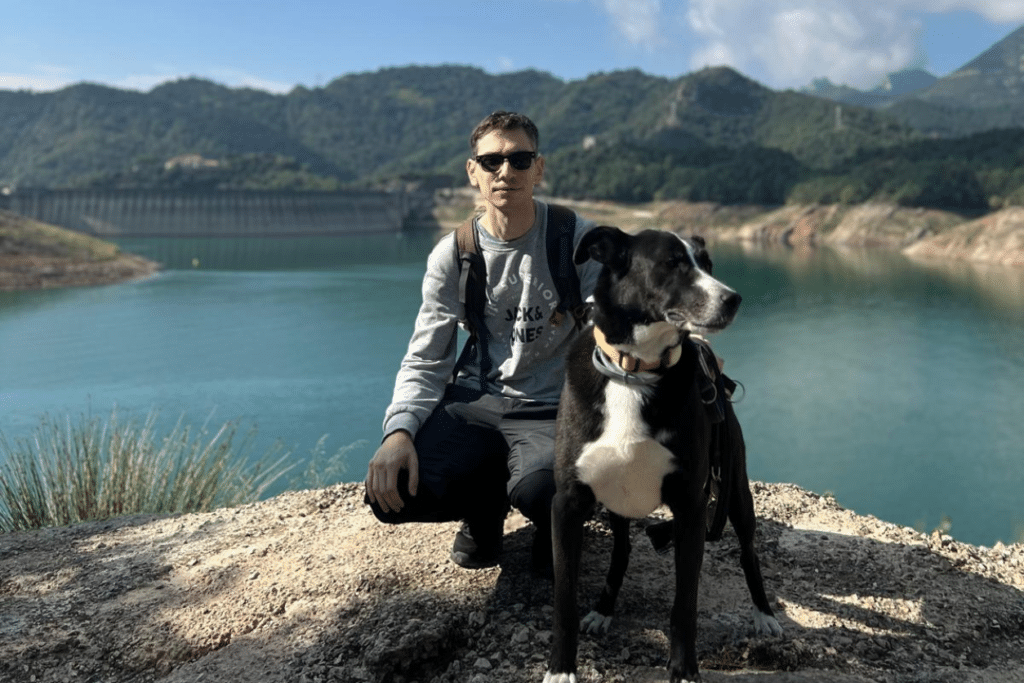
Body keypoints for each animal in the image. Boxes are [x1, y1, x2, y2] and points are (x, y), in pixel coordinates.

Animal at [548, 228, 778, 683]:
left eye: (708, 264)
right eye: (672, 263)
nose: (733, 299)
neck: (633, 372)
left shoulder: (690, 506)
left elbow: (684, 605)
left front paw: (684, 670)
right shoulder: (567, 504)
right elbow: (564, 601)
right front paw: (561, 670)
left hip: (736, 489)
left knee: (748, 550)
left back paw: (764, 614)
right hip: (617, 502)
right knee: (621, 550)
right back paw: (603, 610)